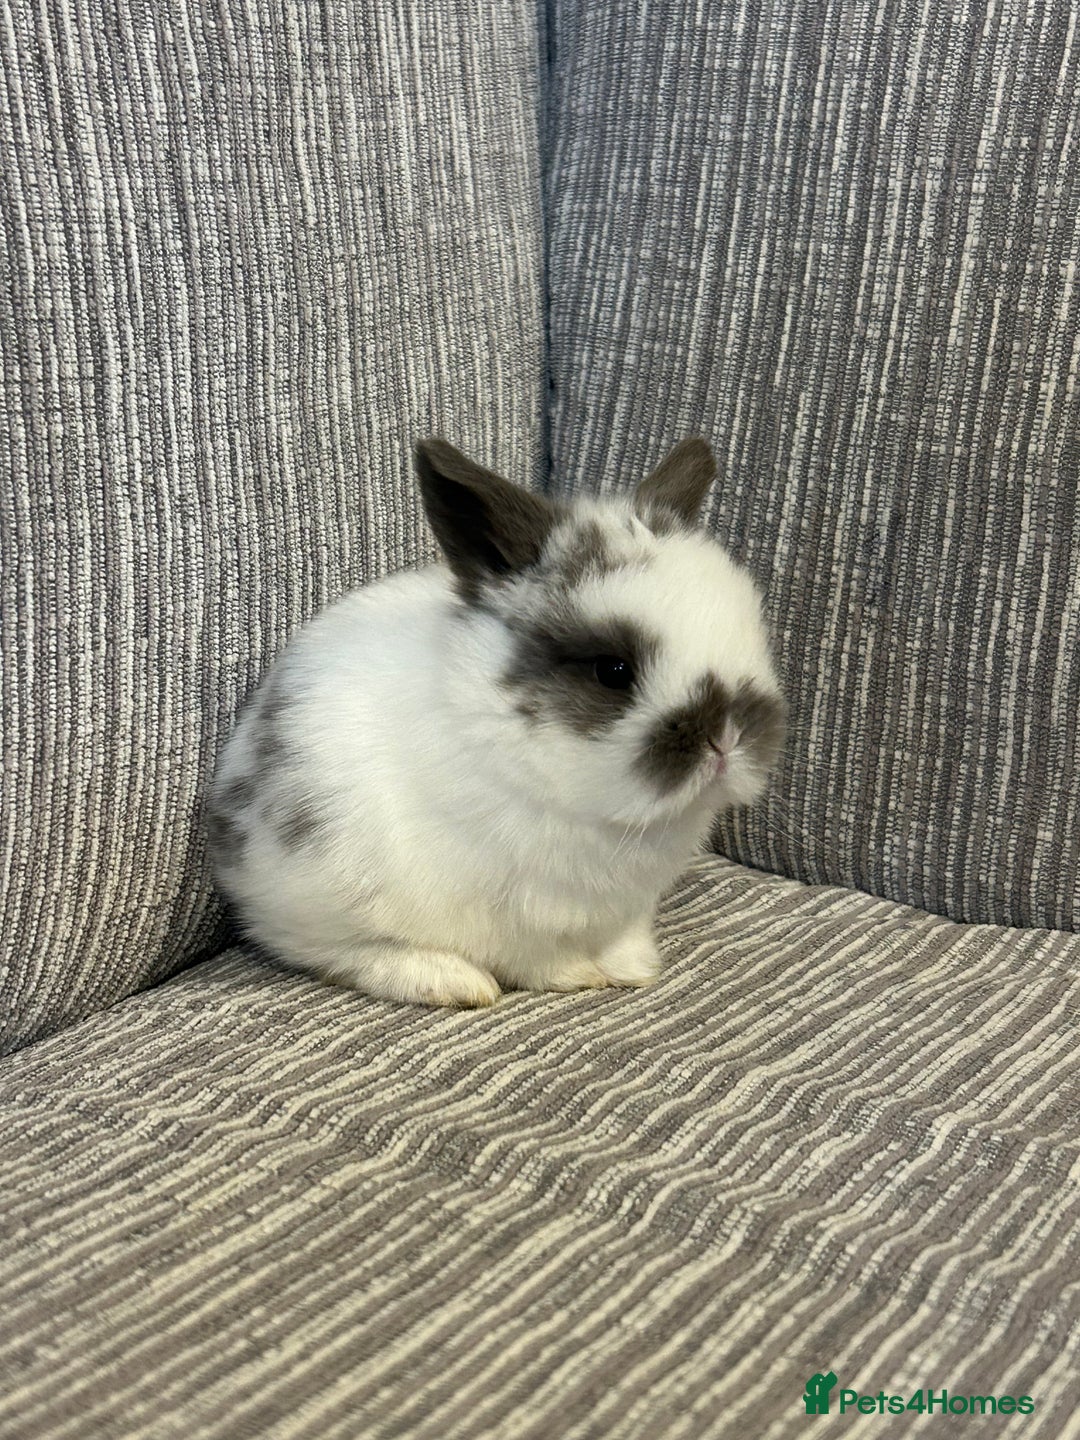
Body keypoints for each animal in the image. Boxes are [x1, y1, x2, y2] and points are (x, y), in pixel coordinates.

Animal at [207, 436, 786, 1008]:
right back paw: (451, 981)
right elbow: (535, 957)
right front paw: (579, 976)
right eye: (613, 671)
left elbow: (621, 936)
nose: (727, 738)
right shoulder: (518, 909)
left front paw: (635, 966)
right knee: (325, 949)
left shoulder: (625, 905)